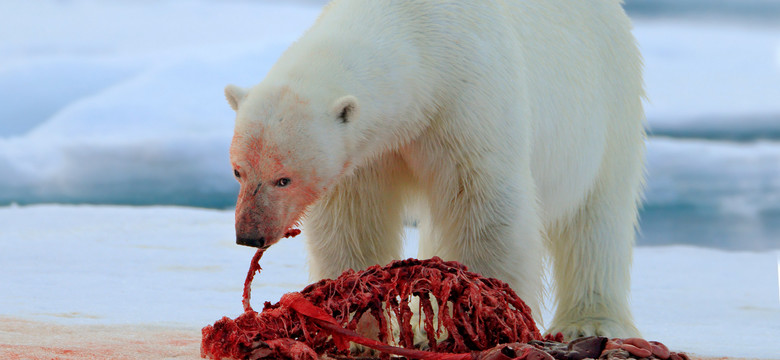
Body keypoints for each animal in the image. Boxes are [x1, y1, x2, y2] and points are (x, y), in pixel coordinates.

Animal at [222, 0, 644, 338]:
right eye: (238, 171)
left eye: (283, 178)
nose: (250, 235)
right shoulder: (367, 154)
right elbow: (353, 222)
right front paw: (359, 326)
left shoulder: (466, 103)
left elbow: (485, 210)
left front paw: (483, 314)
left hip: (609, 100)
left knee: (597, 217)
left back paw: (590, 323)